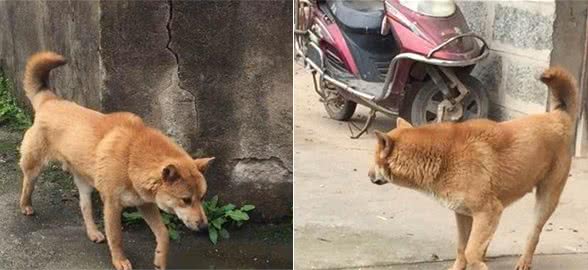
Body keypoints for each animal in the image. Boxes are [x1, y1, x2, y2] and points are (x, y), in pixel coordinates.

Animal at [19, 51, 215, 270]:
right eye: (186, 200)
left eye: (202, 198)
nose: (204, 227)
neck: (132, 157)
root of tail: (49, 100)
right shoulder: (112, 204)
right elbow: (116, 237)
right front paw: (120, 260)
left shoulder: (145, 204)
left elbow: (163, 234)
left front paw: (159, 259)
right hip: (34, 165)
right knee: (27, 183)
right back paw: (25, 205)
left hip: (85, 183)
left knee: (85, 207)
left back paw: (93, 232)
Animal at [370, 66, 576, 270]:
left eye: (373, 159)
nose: (369, 175)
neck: (442, 157)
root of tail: (558, 117)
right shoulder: (463, 214)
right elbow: (462, 248)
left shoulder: (488, 211)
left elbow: (470, 252)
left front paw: (478, 264)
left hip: (546, 199)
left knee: (533, 234)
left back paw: (523, 261)